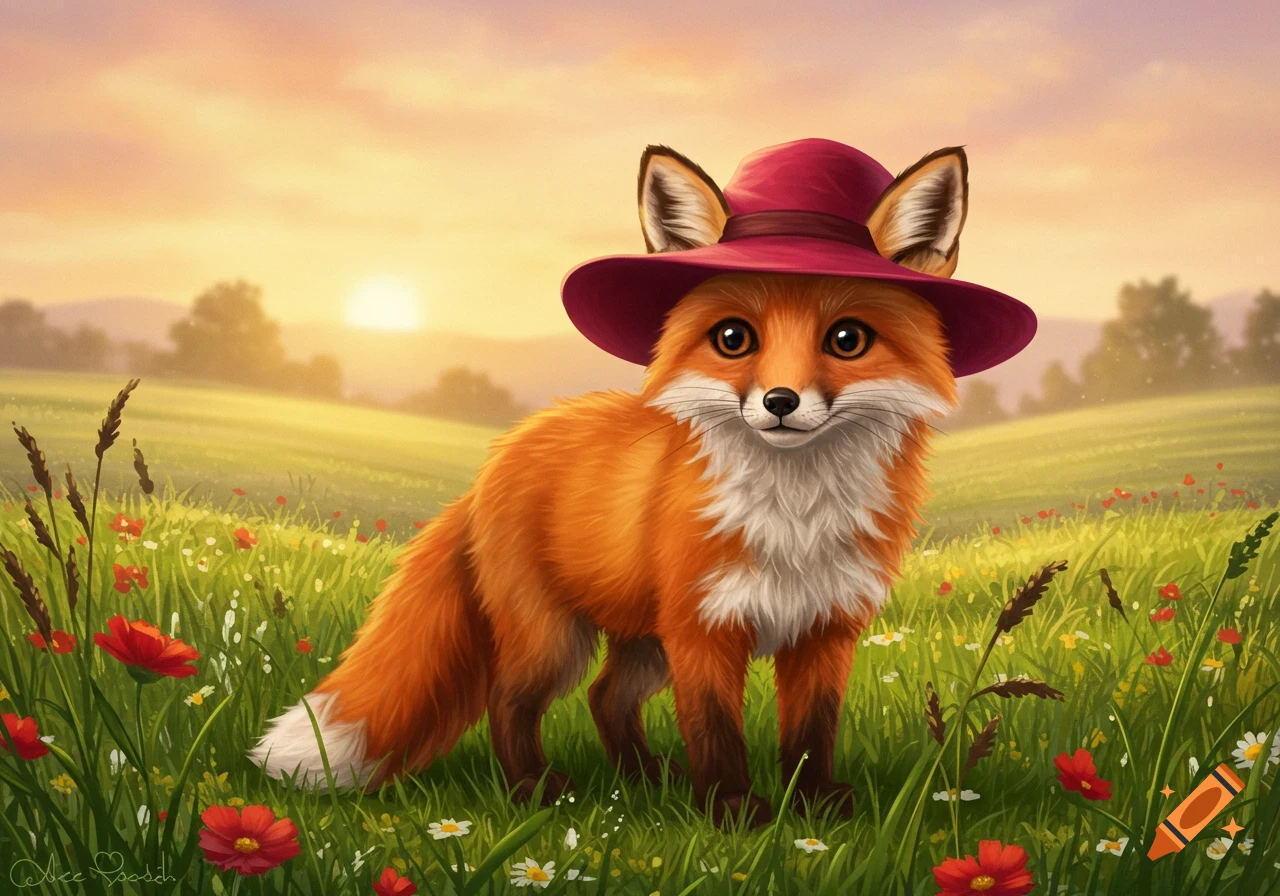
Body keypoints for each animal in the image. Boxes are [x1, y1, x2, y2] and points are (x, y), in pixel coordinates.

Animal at [251, 139, 1009, 826]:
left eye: (847, 340)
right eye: (733, 339)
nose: (781, 402)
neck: (793, 513)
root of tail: (501, 451)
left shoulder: (825, 628)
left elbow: (810, 734)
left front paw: (815, 806)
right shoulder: (705, 628)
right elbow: (715, 731)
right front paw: (732, 812)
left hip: (645, 642)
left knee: (606, 698)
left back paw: (643, 778)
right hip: (557, 637)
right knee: (510, 699)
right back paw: (535, 790)